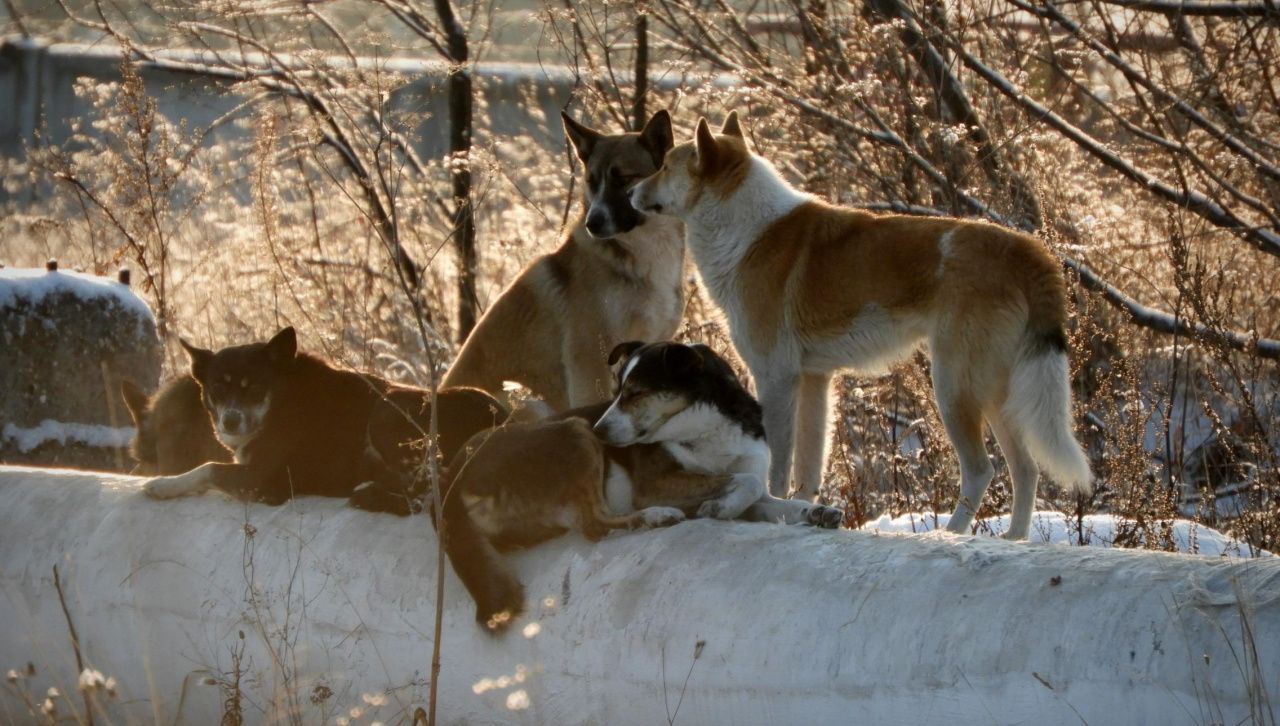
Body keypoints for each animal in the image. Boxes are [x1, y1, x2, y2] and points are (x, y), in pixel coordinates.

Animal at [629, 112, 1090, 540]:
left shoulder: (776, 378)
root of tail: (1024, 248)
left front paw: (775, 508)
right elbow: (809, 471)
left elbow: (777, 466)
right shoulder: (815, 381)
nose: (630, 193)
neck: (747, 230)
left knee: (982, 470)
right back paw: (1015, 539)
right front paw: (806, 514)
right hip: (995, 394)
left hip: (955, 389)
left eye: (665, 166)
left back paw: (951, 534)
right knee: (1026, 470)